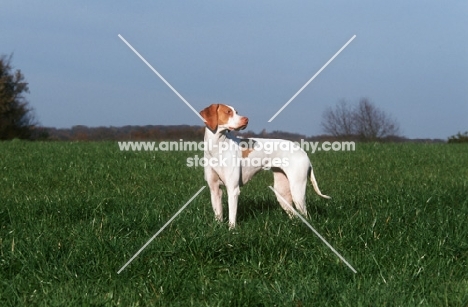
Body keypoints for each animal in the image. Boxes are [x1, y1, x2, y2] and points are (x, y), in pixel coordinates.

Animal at [199, 104, 330, 229]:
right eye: (228, 112)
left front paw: (231, 231)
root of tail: (303, 152)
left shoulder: (233, 189)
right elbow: (218, 215)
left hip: (297, 191)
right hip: (282, 193)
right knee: (294, 214)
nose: (246, 119)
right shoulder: (215, 190)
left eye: (236, 111)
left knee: (305, 215)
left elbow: (232, 216)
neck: (217, 147)